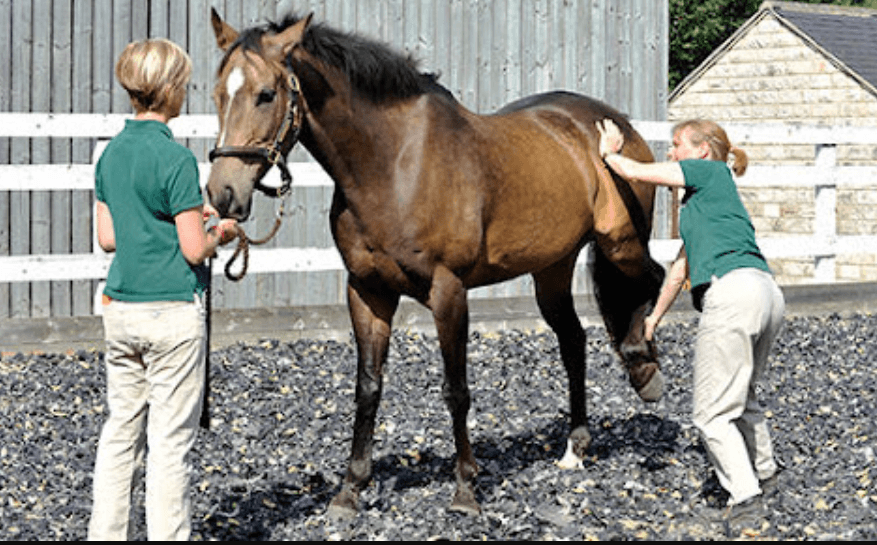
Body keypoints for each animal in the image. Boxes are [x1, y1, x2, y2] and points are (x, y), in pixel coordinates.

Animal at [206, 9, 665, 517]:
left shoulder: (448, 291)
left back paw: (644, 369)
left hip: (622, 244)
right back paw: (576, 446)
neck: (392, 166)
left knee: (657, 278)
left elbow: (455, 390)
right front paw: (351, 488)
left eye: (266, 94)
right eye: (218, 92)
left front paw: (465, 489)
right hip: (553, 267)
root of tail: (616, 124)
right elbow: (368, 387)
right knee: (573, 341)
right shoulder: (367, 291)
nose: (223, 194)